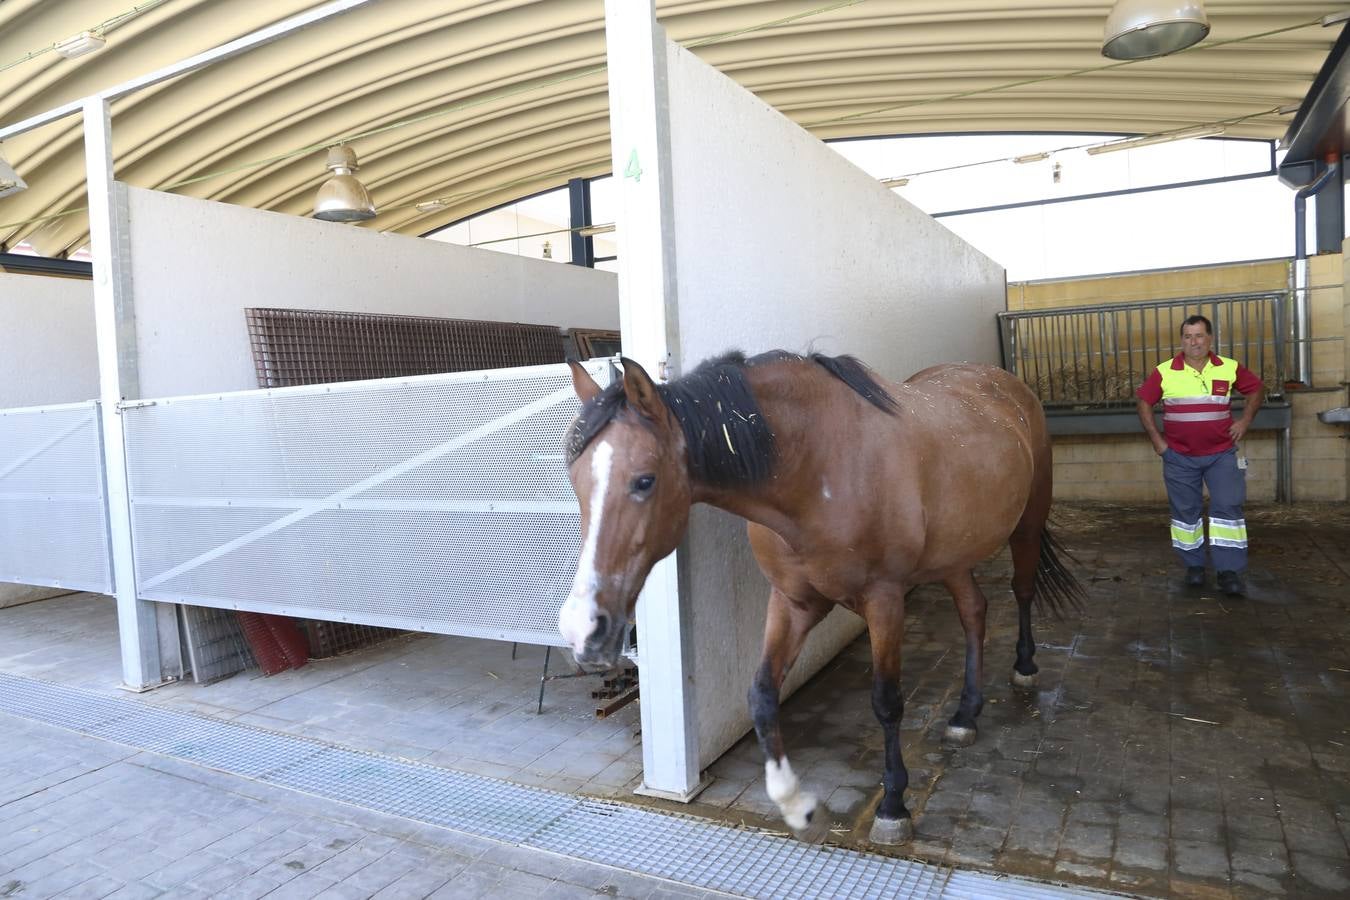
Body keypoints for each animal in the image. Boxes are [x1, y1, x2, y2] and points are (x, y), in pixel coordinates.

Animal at [553, 350, 1080, 847]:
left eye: (644, 480)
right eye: (574, 480)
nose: (583, 629)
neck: (817, 468)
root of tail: (1003, 383)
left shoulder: (885, 601)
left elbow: (887, 701)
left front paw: (893, 805)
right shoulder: (793, 602)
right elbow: (762, 695)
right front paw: (794, 803)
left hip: (1027, 525)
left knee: (1021, 591)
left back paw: (1024, 667)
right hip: (953, 555)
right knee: (974, 612)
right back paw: (966, 714)